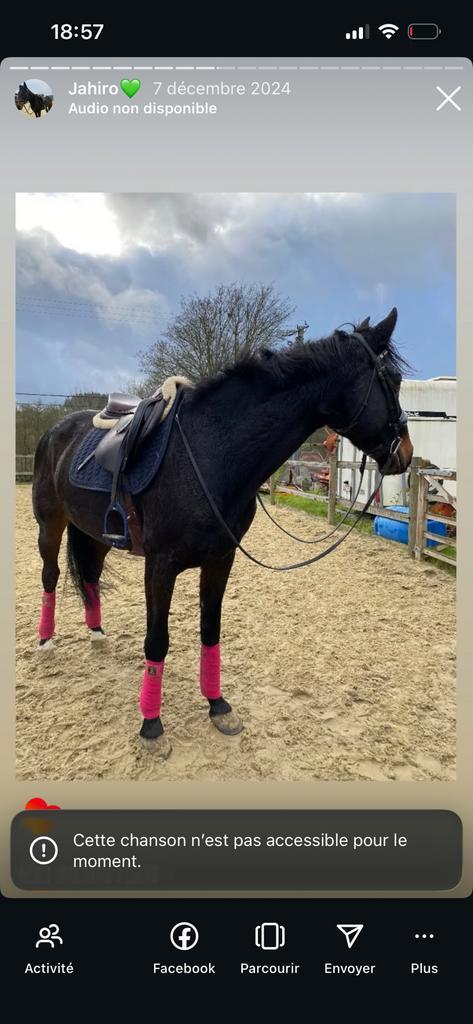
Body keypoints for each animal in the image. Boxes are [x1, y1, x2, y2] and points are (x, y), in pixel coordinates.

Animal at [31, 307, 413, 758]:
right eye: (392, 380)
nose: (406, 454)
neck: (212, 449)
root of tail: (56, 430)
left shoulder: (220, 559)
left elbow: (210, 631)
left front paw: (218, 706)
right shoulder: (160, 567)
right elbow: (156, 641)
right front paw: (151, 726)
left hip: (97, 535)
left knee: (89, 575)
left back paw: (96, 633)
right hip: (50, 524)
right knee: (51, 575)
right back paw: (46, 642)